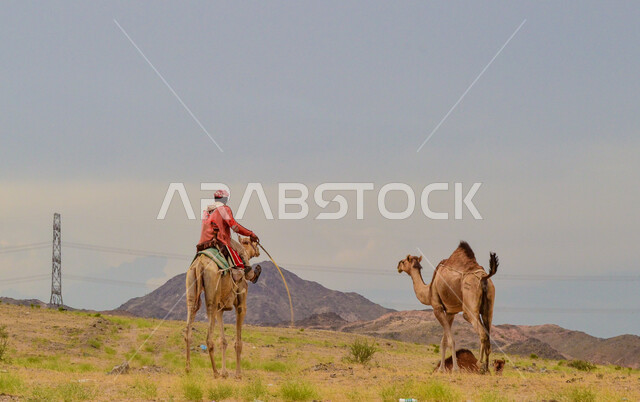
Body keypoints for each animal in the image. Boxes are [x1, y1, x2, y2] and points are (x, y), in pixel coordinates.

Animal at [184, 236, 261, 378]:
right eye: (252, 242)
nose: (258, 250)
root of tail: (200, 264)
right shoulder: (241, 304)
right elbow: (238, 342)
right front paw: (238, 374)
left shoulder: (221, 308)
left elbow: (223, 341)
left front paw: (224, 373)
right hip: (212, 291)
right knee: (209, 336)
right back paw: (215, 372)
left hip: (191, 284)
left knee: (189, 324)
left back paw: (188, 368)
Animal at [397, 241, 498, 372]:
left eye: (404, 261)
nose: (398, 265)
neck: (429, 291)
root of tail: (484, 277)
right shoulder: (450, 312)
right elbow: (444, 341)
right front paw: (441, 369)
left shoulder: (437, 308)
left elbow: (450, 340)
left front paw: (454, 369)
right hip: (489, 306)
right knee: (488, 332)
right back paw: (486, 369)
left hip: (469, 305)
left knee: (482, 333)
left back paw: (479, 364)